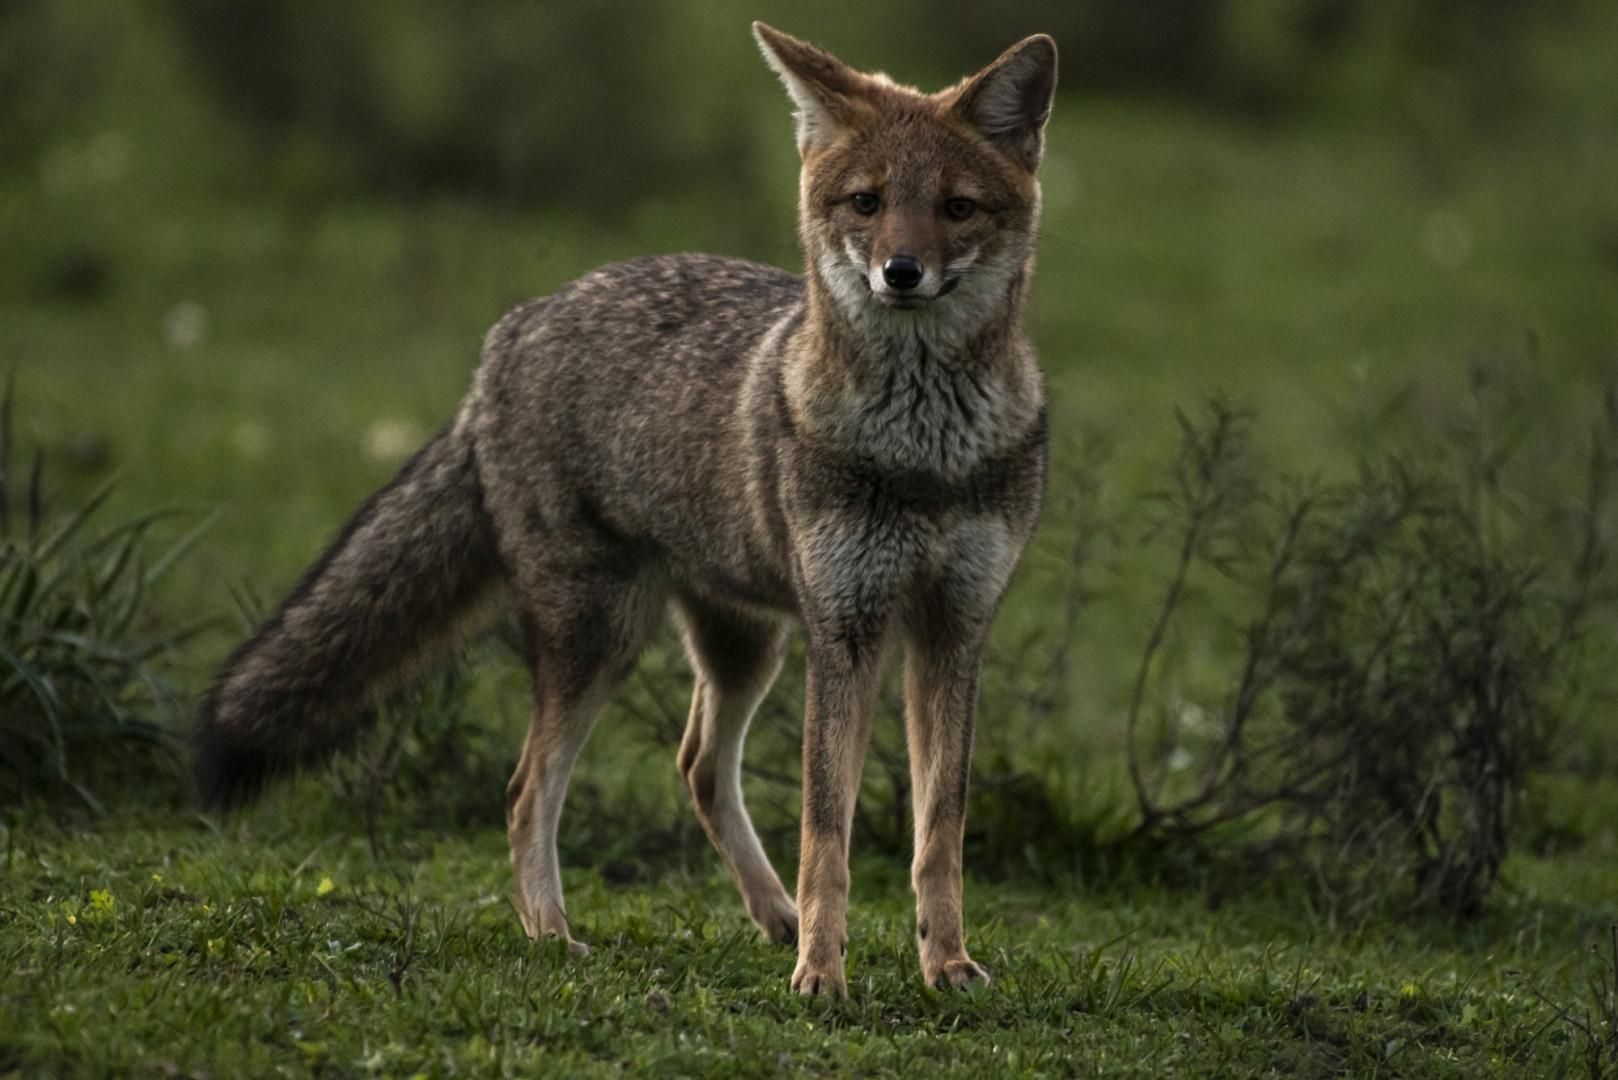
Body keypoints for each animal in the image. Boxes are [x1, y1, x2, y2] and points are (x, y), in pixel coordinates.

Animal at [192, 23, 1057, 996]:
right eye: (866, 204)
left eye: (957, 208)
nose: (900, 273)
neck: (922, 455)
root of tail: (513, 331)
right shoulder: (847, 628)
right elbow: (826, 831)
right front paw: (822, 976)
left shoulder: (953, 627)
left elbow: (938, 828)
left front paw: (944, 962)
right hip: (603, 639)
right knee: (527, 789)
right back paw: (551, 934)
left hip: (745, 648)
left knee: (697, 768)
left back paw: (771, 916)